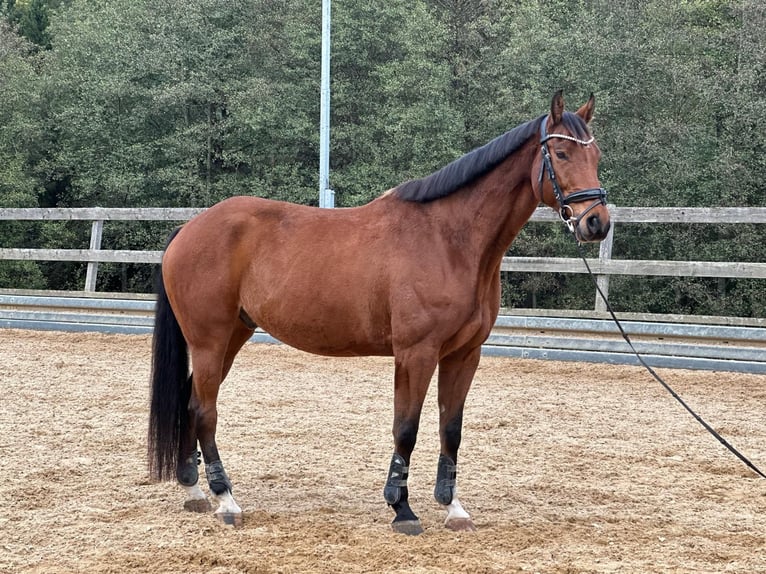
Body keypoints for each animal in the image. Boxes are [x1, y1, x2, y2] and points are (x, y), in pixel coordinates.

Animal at [147, 91, 611, 535]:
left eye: (597, 155)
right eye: (562, 154)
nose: (597, 223)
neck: (448, 240)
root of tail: (189, 228)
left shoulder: (464, 354)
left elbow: (451, 429)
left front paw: (453, 507)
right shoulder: (415, 354)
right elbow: (406, 428)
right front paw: (402, 508)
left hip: (233, 336)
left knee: (191, 401)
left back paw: (194, 488)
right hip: (209, 340)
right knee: (205, 411)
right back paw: (226, 500)